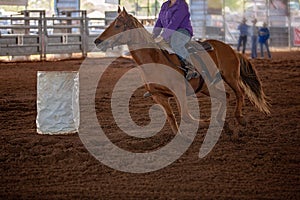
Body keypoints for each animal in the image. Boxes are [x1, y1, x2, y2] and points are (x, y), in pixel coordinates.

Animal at [94, 7, 270, 134]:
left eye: (117, 25)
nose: (97, 41)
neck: (155, 60)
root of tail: (232, 49)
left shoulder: (179, 91)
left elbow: (186, 116)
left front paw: (205, 122)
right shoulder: (159, 96)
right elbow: (172, 118)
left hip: (231, 76)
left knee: (239, 93)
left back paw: (239, 118)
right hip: (206, 87)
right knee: (224, 96)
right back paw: (222, 122)